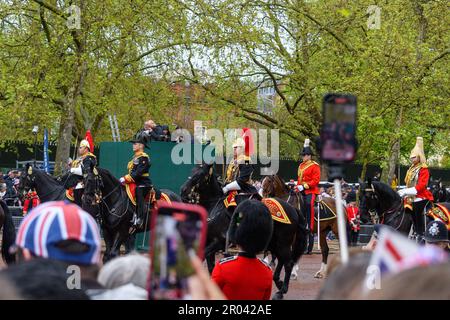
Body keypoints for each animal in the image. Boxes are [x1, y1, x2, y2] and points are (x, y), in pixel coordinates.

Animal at [181, 164, 308, 298]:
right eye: (192, 171)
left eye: (200, 175)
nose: (183, 191)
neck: (215, 207)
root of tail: (293, 209)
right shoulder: (209, 241)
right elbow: (210, 266)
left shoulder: (219, 242)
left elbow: (202, 258)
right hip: (276, 243)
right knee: (281, 260)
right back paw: (278, 281)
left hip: (283, 243)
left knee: (288, 263)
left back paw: (281, 290)